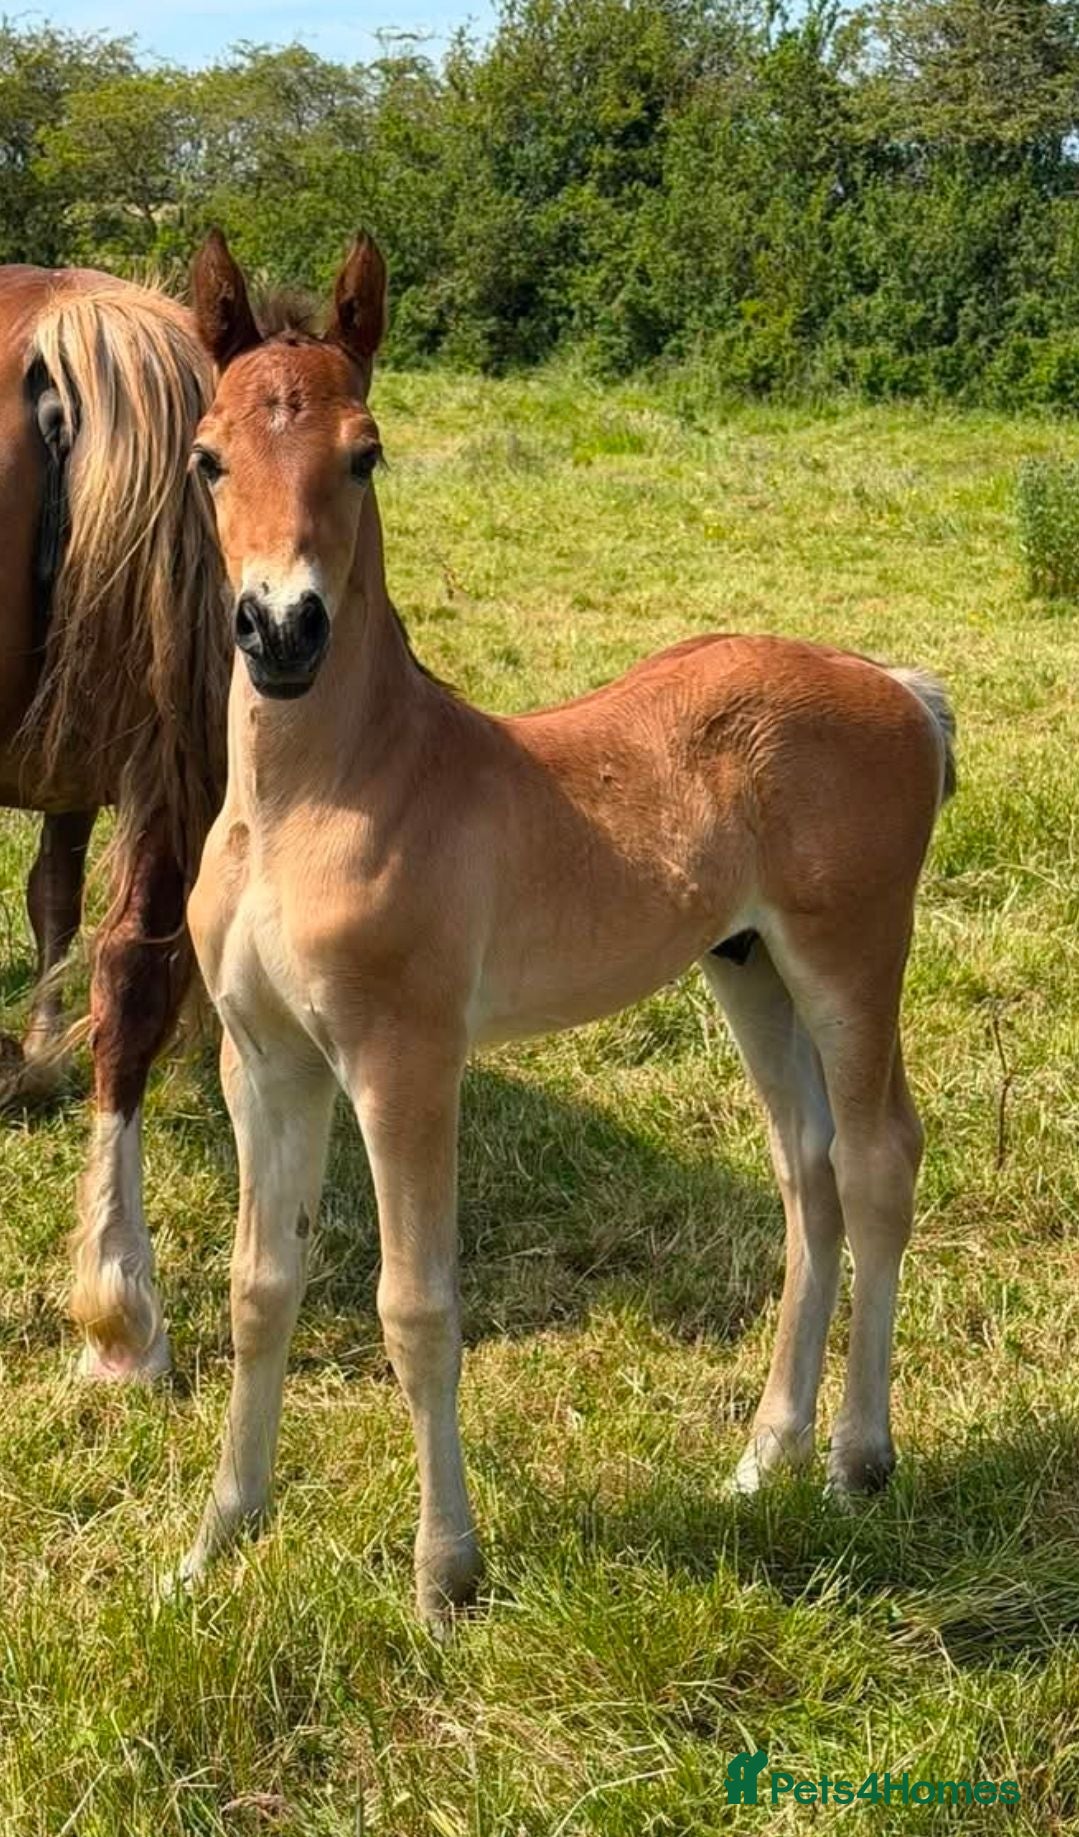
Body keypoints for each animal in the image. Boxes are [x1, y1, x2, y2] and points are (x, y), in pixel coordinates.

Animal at [179, 229, 955, 1627]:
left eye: (366, 451)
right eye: (209, 455)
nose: (281, 631)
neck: (315, 796)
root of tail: (898, 686)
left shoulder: (403, 1061)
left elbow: (415, 1306)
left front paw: (444, 1578)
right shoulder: (261, 1060)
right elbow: (259, 1289)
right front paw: (217, 1541)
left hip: (850, 955)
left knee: (877, 1162)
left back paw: (857, 1460)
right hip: (748, 969)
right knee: (805, 1174)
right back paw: (762, 1459)